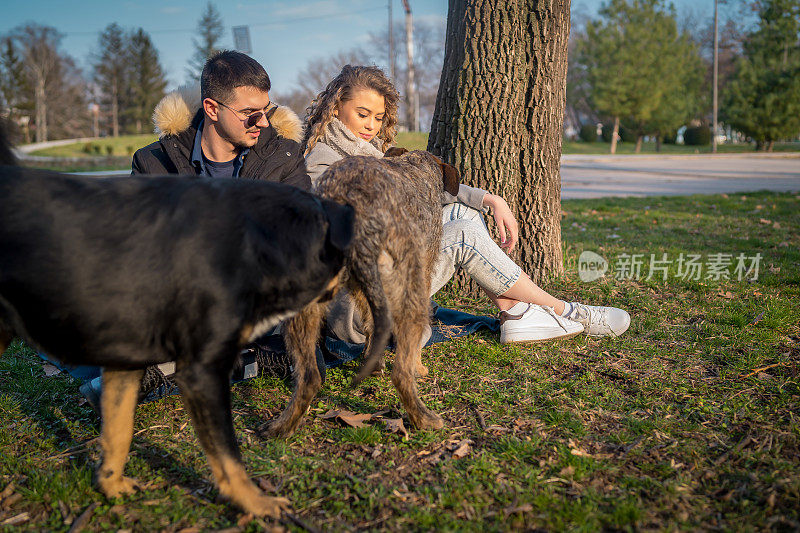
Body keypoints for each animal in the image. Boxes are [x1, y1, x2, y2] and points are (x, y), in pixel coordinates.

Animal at [0, 131, 354, 516]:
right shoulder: (201, 371)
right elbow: (228, 455)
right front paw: (256, 503)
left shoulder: (125, 361)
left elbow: (119, 430)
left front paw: (110, 484)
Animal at [266, 147, 460, 436]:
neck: (416, 168)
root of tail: (354, 206)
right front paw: (418, 366)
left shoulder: (362, 290)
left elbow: (370, 324)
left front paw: (373, 362)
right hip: (409, 291)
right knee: (401, 373)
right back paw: (425, 418)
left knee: (309, 376)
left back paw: (281, 426)